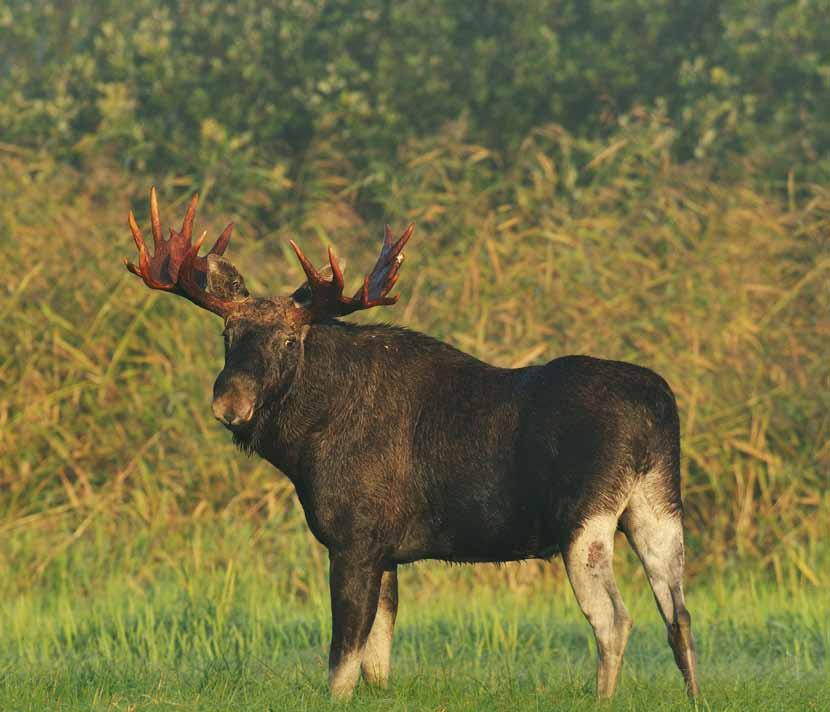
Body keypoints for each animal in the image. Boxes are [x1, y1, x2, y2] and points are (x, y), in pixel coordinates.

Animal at [125, 186, 704, 700]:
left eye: (289, 340)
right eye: (227, 335)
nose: (230, 403)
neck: (306, 443)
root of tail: (658, 405)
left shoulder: (354, 538)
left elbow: (341, 663)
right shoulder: (388, 551)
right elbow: (377, 663)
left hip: (585, 520)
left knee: (615, 618)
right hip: (655, 506)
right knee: (678, 613)